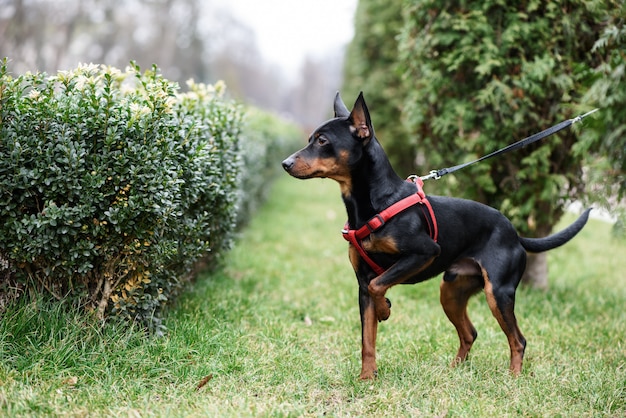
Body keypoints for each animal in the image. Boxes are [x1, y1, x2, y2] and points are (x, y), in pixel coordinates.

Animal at [280, 93, 588, 380]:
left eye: (322, 141)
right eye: (310, 139)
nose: (285, 163)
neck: (376, 202)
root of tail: (514, 233)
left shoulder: (424, 252)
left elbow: (380, 285)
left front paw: (384, 310)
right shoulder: (362, 283)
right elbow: (367, 338)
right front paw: (367, 378)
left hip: (498, 292)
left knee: (518, 340)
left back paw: (513, 378)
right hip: (451, 290)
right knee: (470, 333)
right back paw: (454, 370)